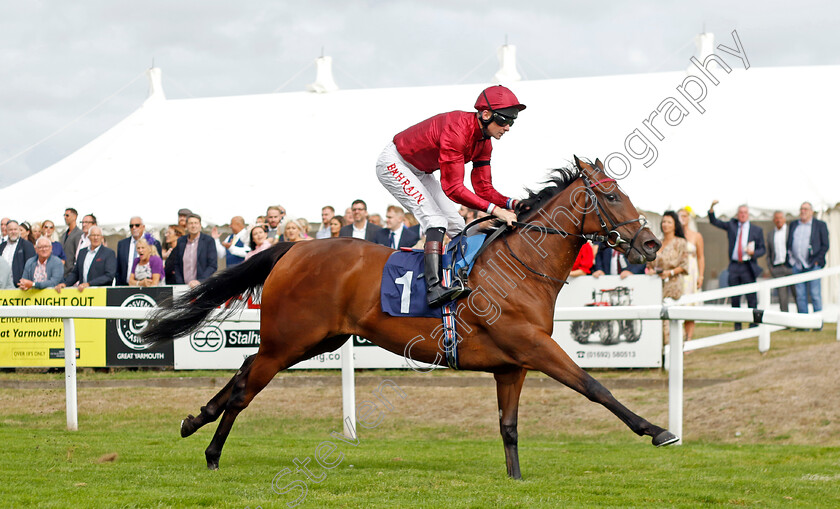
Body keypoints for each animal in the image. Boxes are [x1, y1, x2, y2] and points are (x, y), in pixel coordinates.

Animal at [138, 156, 676, 476]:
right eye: (612, 196)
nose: (651, 244)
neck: (521, 265)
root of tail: (295, 245)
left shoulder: (512, 364)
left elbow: (509, 426)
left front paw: (516, 479)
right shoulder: (535, 347)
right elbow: (596, 387)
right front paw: (658, 431)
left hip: (314, 340)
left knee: (246, 369)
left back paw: (195, 421)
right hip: (289, 339)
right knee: (247, 387)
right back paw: (212, 452)